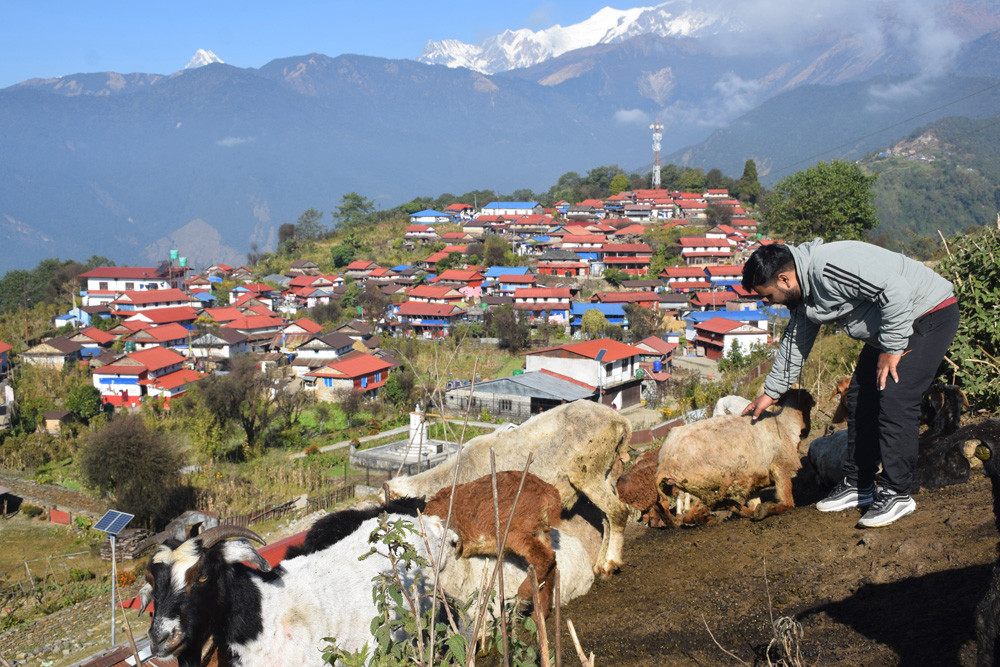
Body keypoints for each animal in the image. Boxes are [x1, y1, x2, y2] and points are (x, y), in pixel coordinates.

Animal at [380, 400, 624, 576]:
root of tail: (619, 421)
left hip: (588, 472)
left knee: (618, 512)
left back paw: (611, 562)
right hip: (605, 471)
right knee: (607, 519)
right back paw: (600, 564)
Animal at [422, 472, 564, 620]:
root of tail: (547, 490)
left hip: (514, 532)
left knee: (543, 558)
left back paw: (522, 601)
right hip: (540, 531)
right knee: (552, 561)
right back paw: (539, 614)